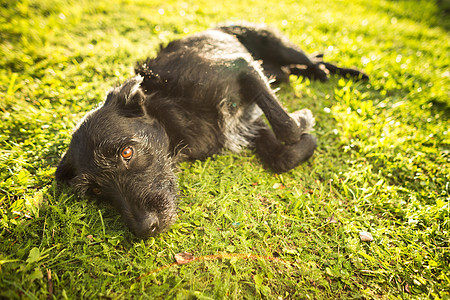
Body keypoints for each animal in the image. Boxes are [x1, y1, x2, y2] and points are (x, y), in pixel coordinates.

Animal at [55, 23, 366, 238]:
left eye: (127, 152)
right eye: (95, 190)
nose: (145, 229)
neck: (173, 109)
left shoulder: (243, 68)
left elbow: (287, 126)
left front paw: (303, 119)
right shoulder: (247, 123)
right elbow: (281, 157)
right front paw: (305, 139)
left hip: (276, 43)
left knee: (310, 59)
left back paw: (352, 73)